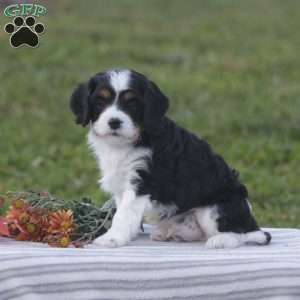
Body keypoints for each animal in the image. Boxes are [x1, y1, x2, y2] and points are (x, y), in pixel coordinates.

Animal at [70, 68, 272, 248]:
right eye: (100, 101)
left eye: (132, 103)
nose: (114, 122)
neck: (128, 141)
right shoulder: (122, 184)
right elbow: (124, 211)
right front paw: (127, 235)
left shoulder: (141, 182)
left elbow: (123, 214)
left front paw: (111, 239)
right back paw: (171, 232)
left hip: (215, 209)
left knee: (245, 234)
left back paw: (220, 240)